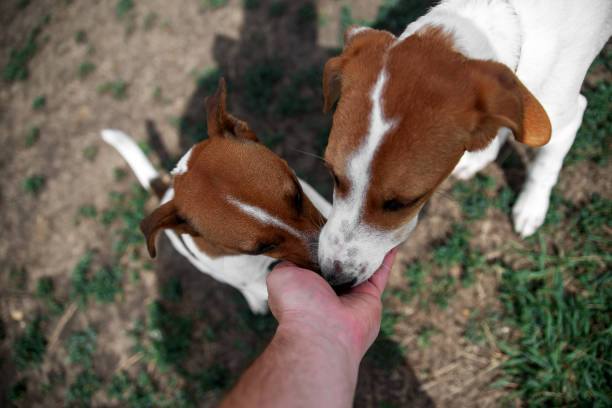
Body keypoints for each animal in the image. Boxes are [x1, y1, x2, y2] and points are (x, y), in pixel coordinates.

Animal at [316, 0, 612, 286]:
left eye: (403, 203)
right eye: (334, 176)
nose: (333, 279)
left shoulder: (563, 122)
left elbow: (543, 169)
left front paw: (531, 207)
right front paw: (481, 157)